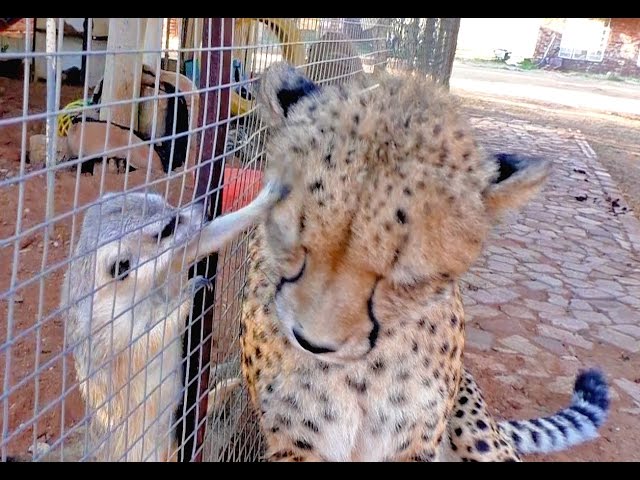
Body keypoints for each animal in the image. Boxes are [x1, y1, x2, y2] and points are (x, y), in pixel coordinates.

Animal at [236, 61, 608, 462]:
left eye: (406, 279)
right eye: (291, 240)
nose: (312, 343)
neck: (361, 372)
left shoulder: (415, 443)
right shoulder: (296, 445)